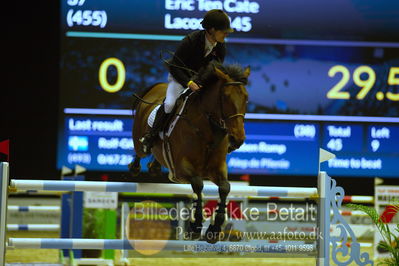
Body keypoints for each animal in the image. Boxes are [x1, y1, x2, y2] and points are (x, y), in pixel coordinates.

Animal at [130, 61, 250, 243]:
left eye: (246, 98)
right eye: (225, 97)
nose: (238, 139)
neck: (207, 131)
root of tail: (157, 87)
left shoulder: (217, 168)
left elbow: (225, 187)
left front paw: (214, 229)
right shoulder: (182, 170)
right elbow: (198, 185)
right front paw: (195, 227)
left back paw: (154, 166)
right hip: (139, 139)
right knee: (140, 151)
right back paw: (136, 164)